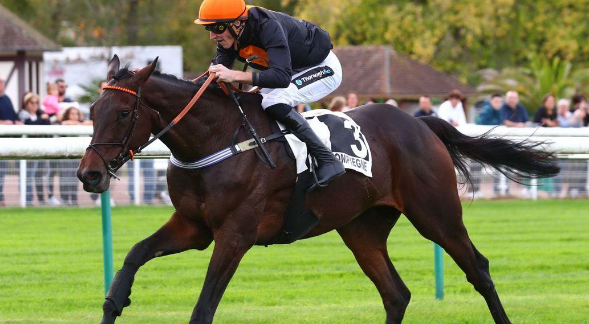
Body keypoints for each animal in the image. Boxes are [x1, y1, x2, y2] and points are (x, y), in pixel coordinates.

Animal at [77, 56, 556, 324]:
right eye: (92, 109)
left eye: (123, 113)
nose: (88, 176)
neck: (217, 139)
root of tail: (421, 122)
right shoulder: (194, 226)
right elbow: (135, 254)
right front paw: (115, 301)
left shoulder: (235, 233)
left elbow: (203, 308)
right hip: (362, 227)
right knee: (396, 293)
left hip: (436, 214)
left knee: (479, 269)